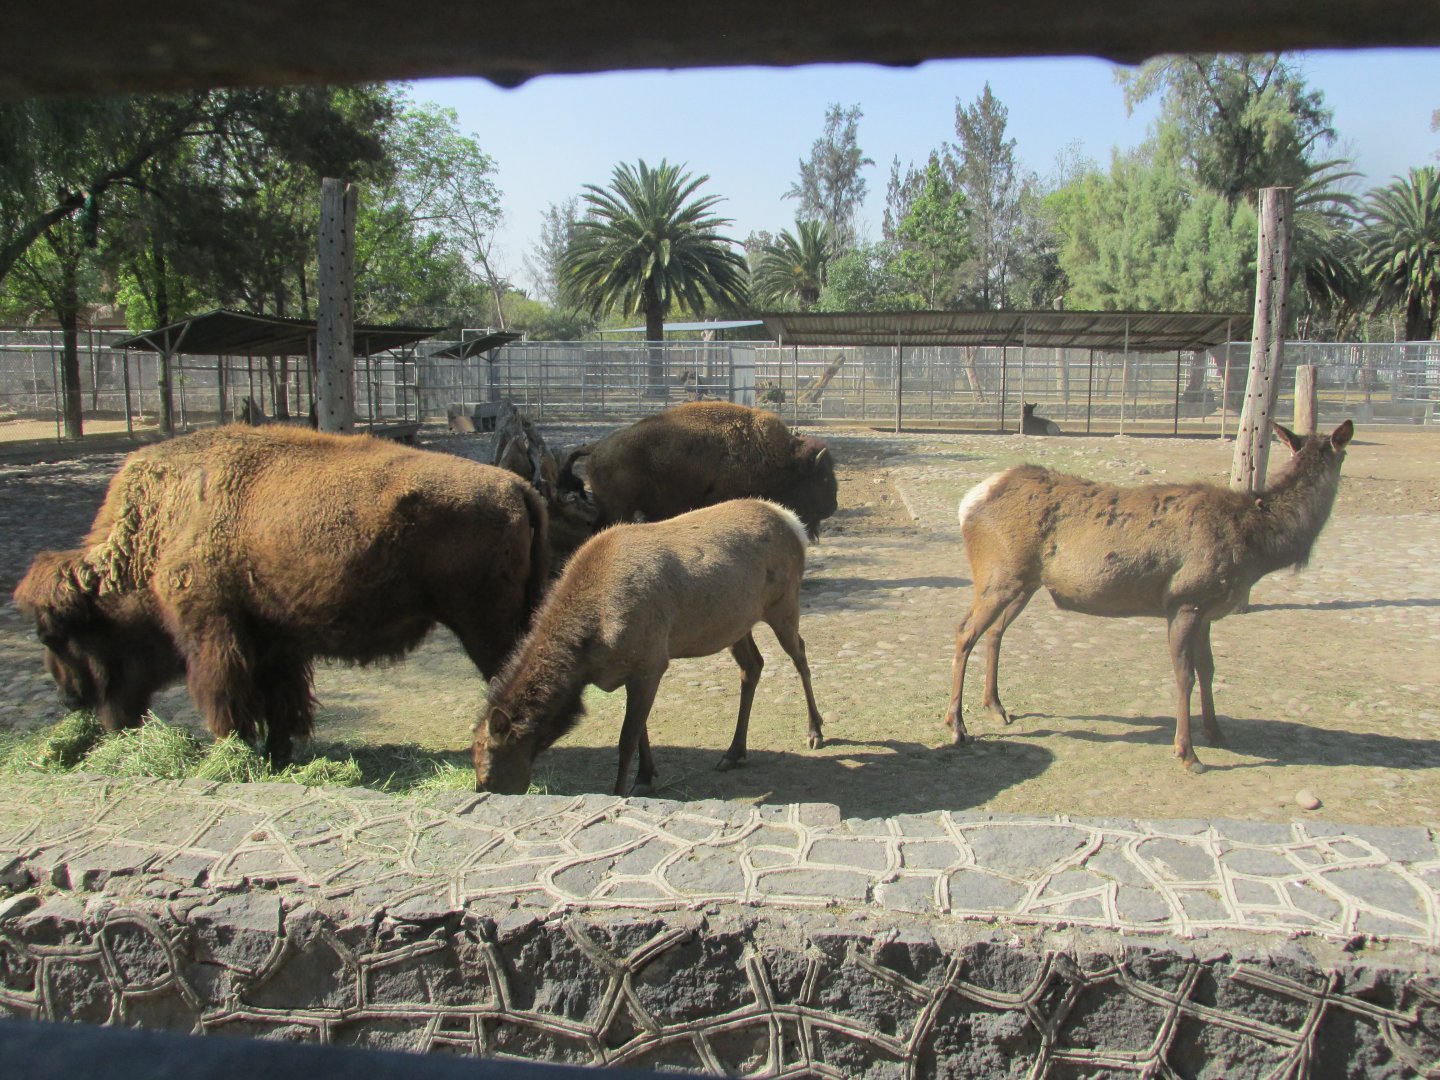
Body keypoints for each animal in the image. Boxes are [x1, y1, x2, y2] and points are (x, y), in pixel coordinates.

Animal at [944, 420, 1354, 772]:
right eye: (1341, 455)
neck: (1256, 548)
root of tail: (967, 502)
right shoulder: (1184, 600)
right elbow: (1184, 675)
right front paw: (1188, 753)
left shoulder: (1207, 611)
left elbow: (1208, 669)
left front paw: (1217, 733)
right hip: (999, 575)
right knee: (964, 631)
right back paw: (957, 725)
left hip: (1024, 583)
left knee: (995, 632)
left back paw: (997, 707)